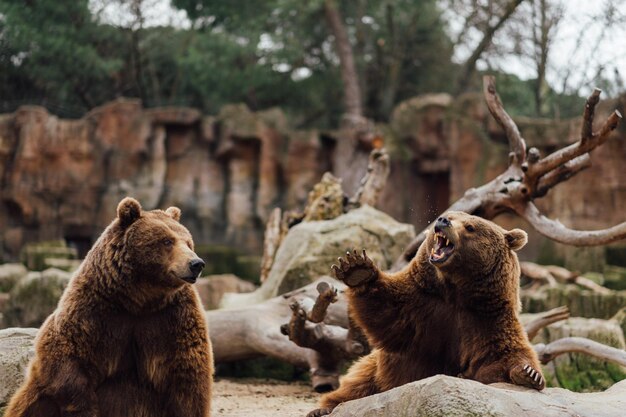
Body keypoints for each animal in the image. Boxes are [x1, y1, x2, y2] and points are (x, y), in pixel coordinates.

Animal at [4, 197, 214, 416]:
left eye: (188, 242)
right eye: (167, 241)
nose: (196, 263)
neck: (140, 298)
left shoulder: (172, 317)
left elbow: (186, 374)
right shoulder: (93, 308)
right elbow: (67, 354)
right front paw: (86, 406)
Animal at [308, 211, 540, 416]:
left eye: (470, 227)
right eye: (450, 215)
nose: (443, 221)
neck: (455, 291)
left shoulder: (488, 318)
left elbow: (503, 354)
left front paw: (529, 374)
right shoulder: (419, 305)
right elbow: (385, 310)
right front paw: (357, 269)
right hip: (375, 369)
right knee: (358, 383)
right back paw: (323, 408)